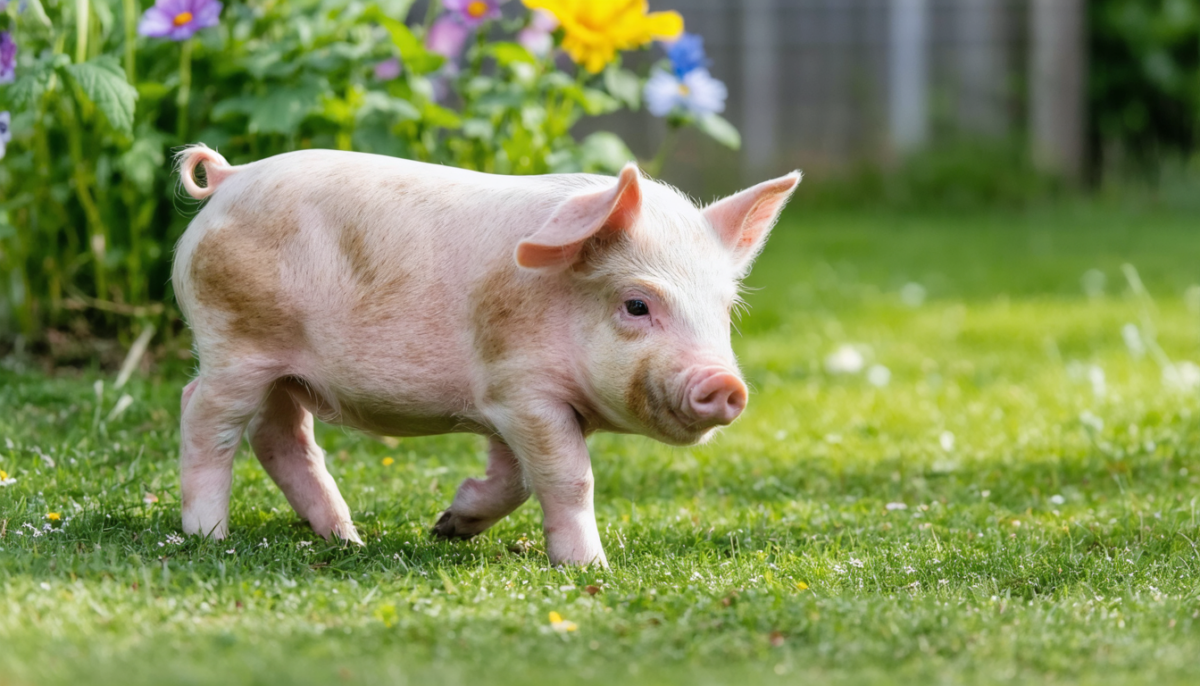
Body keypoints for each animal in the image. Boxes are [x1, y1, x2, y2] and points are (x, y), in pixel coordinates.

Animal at [171, 144, 799, 566]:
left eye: (725, 309)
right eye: (637, 304)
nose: (725, 384)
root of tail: (229, 178)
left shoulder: (504, 402)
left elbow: (515, 479)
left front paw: (448, 526)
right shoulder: (522, 390)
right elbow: (569, 477)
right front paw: (589, 568)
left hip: (284, 371)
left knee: (279, 436)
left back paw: (346, 538)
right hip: (235, 341)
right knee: (203, 413)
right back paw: (209, 534)